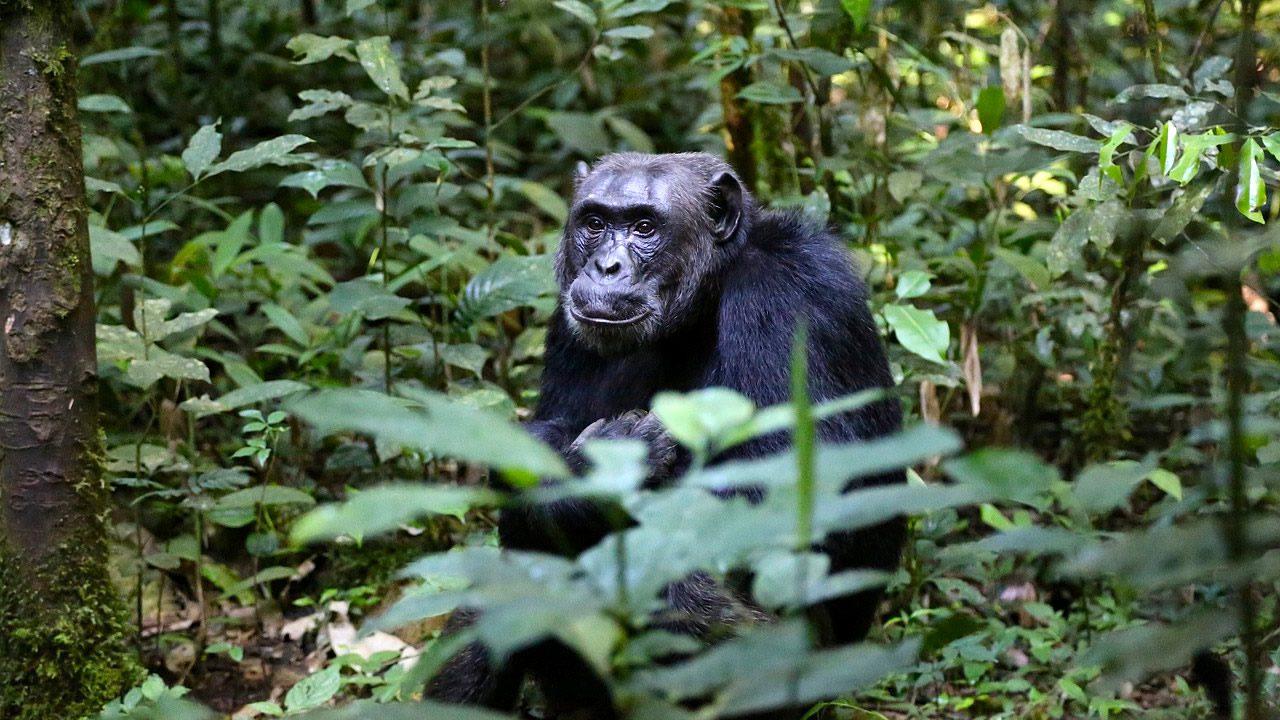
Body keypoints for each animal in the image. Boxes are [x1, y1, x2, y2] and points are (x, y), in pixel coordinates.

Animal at [430, 151, 901, 712]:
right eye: (595, 223)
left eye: (644, 227)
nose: (606, 266)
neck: (703, 301)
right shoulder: (567, 326)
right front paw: (583, 470)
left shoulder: (790, 295)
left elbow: (795, 489)